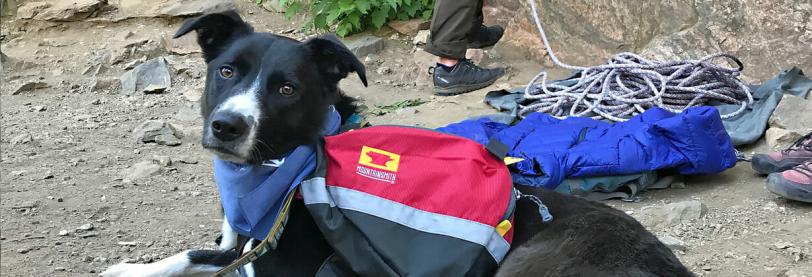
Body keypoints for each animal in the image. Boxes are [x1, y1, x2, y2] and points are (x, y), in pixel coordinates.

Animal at [101, 10, 692, 276]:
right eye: (226, 71)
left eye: (287, 89)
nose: (227, 126)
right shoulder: (237, 248)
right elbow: (196, 254)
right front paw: (130, 270)